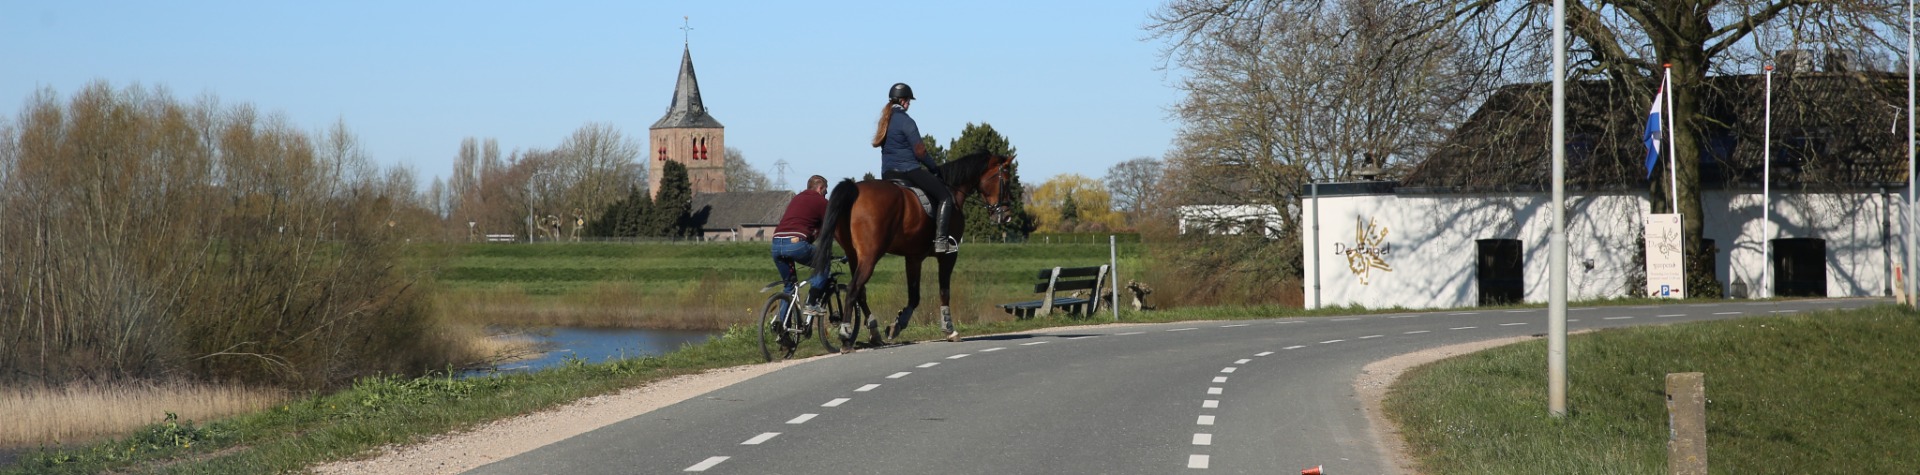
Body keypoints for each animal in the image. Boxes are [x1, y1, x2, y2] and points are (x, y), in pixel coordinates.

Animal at [810, 150, 1021, 350]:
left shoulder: (914, 258)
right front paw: (949, 329)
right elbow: (944, 291)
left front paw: (896, 325)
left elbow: (915, 296)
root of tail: (855, 189)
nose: (1006, 216)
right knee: (854, 289)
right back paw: (846, 336)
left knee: (860, 292)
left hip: (855, 256)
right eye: (1006, 180)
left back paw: (874, 332)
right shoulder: (948, 256)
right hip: (870, 256)